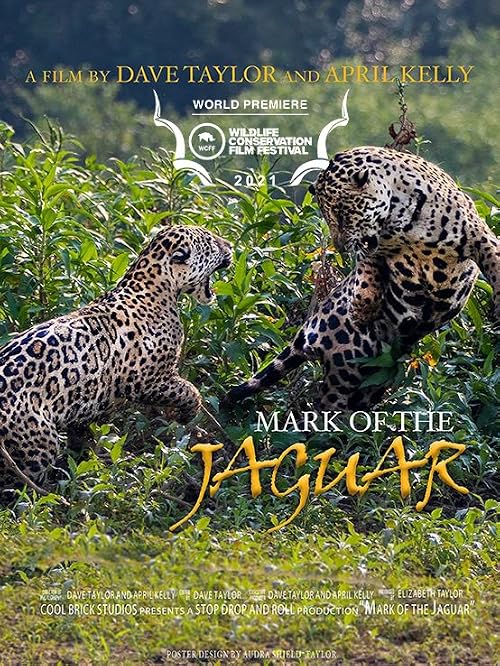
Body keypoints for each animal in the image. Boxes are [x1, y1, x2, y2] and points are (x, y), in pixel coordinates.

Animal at [0, 224, 232, 492]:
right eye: (212, 244)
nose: (230, 246)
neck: (157, 286)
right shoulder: (147, 380)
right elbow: (188, 390)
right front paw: (185, 414)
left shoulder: (84, 406)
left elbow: (82, 434)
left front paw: (83, 461)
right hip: (36, 448)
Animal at [225, 146, 499, 412]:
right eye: (327, 217)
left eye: (342, 213)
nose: (339, 246)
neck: (401, 219)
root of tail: (306, 330)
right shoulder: (373, 251)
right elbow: (366, 270)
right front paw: (361, 309)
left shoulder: (479, 236)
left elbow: (495, 263)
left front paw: (497, 307)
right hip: (343, 367)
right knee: (326, 404)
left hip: (373, 378)